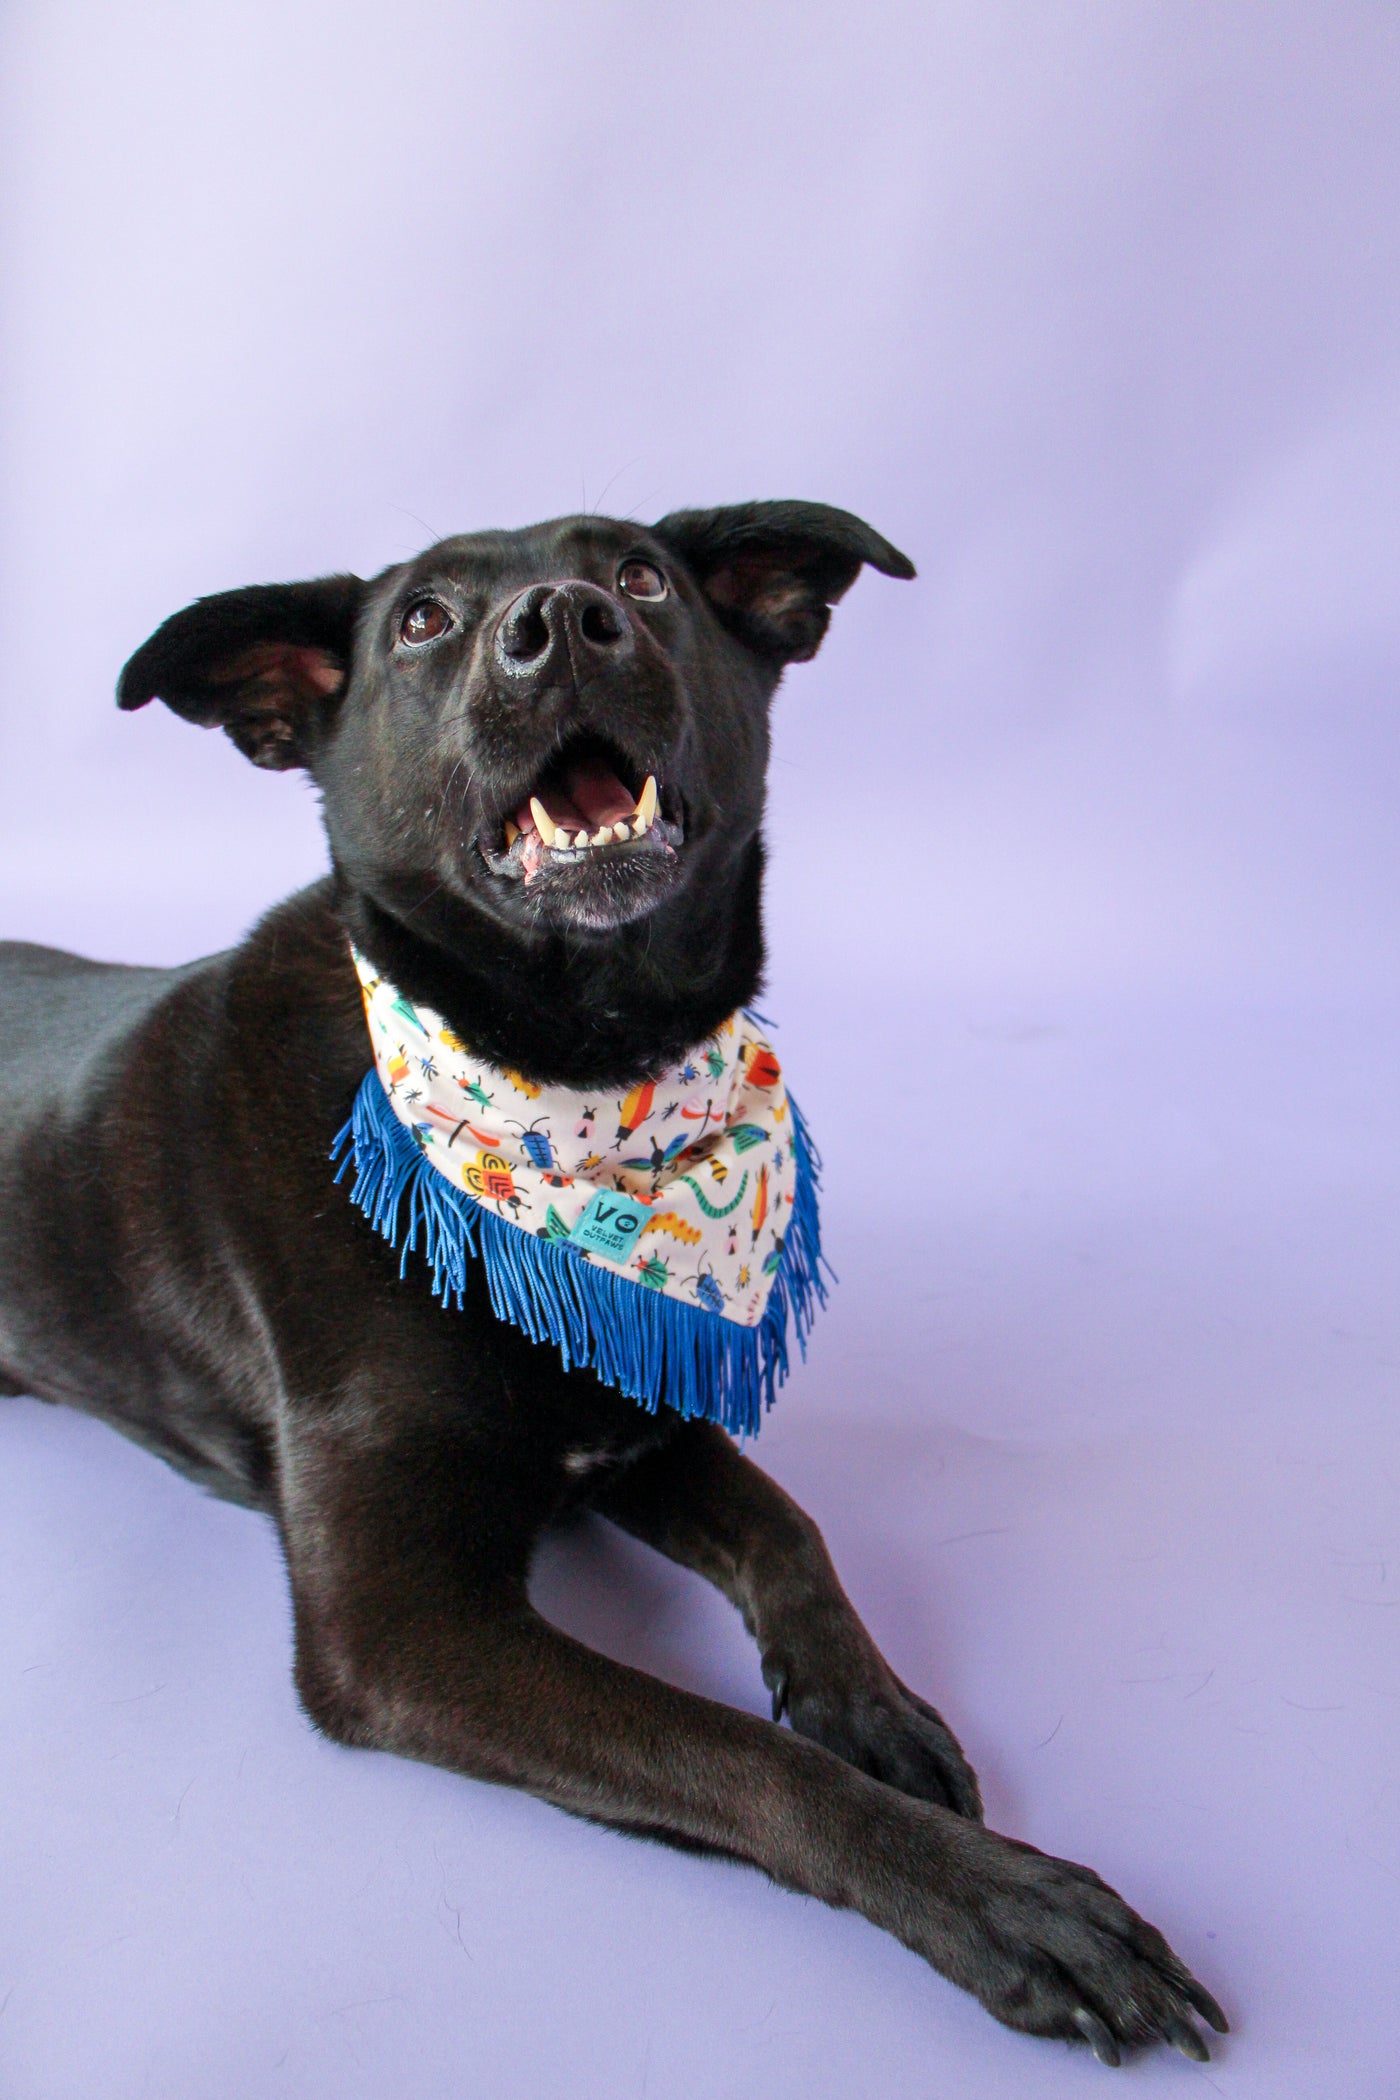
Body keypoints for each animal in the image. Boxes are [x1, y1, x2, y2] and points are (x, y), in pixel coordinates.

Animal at [0, 512, 1225, 2066]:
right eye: (422, 620)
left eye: (641, 574)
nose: (563, 623)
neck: (575, 1088)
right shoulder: (397, 1627)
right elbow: (729, 1751)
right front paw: (1005, 1903)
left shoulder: (634, 1418)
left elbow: (792, 1534)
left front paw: (865, 1702)